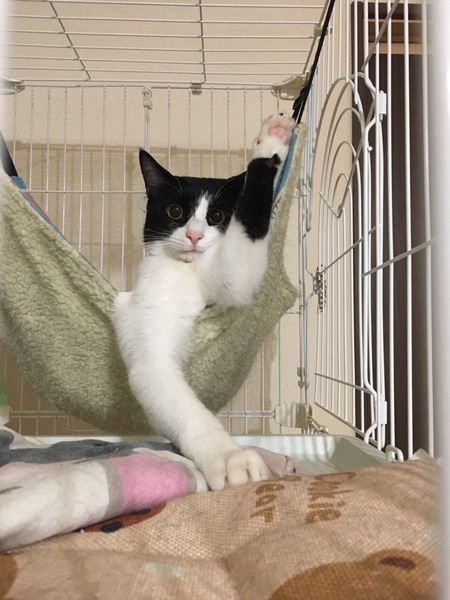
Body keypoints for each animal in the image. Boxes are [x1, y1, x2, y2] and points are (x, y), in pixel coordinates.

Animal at [112, 112, 295, 490]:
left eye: (218, 217)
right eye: (175, 211)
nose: (195, 235)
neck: (189, 272)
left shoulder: (230, 275)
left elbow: (239, 271)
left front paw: (272, 143)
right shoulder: (149, 322)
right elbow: (177, 397)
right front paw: (228, 458)